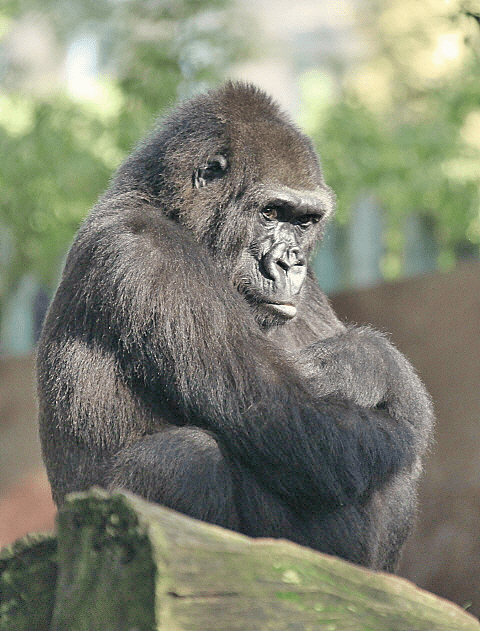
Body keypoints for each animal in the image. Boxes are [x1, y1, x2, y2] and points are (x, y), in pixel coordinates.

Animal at [36, 82, 436, 572]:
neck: (168, 208)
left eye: (304, 221)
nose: (288, 263)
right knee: (185, 459)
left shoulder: (309, 288)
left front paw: (360, 361)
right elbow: (306, 423)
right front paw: (371, 362)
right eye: (271, 213)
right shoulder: (149, 254)